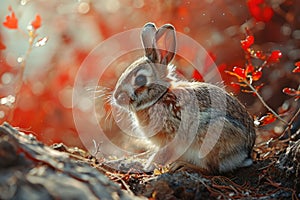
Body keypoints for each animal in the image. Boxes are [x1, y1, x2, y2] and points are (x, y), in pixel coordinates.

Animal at [111, 22, 256, 174]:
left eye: (140, 79)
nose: (116, 97)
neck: (160, 96)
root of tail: (244, 154)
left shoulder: (173, 138)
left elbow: (162, 154)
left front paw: (148, 167)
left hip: (210, 138)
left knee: (212, 169)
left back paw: (183, 165)